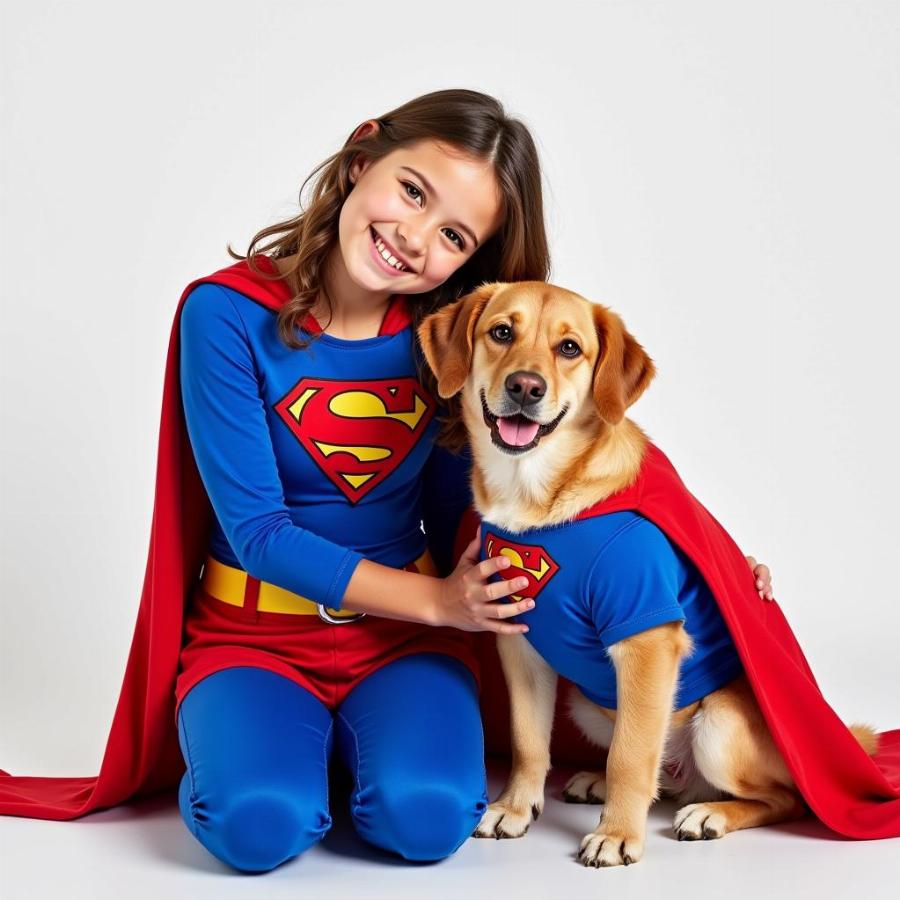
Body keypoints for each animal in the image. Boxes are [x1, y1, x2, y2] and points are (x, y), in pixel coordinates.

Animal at [416, 284, 880, 872]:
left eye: (569, 348)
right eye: (501, 332)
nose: (525, 386)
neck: (538, 501)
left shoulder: (646, 639)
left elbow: (631, 757)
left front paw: (616, 835)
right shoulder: (520, 645)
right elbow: (529, 741)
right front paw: (516, 807)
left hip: (719, 723)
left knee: (780, 797)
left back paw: (708, 814)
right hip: (591, 705)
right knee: (664, 778)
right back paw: (602, 783)